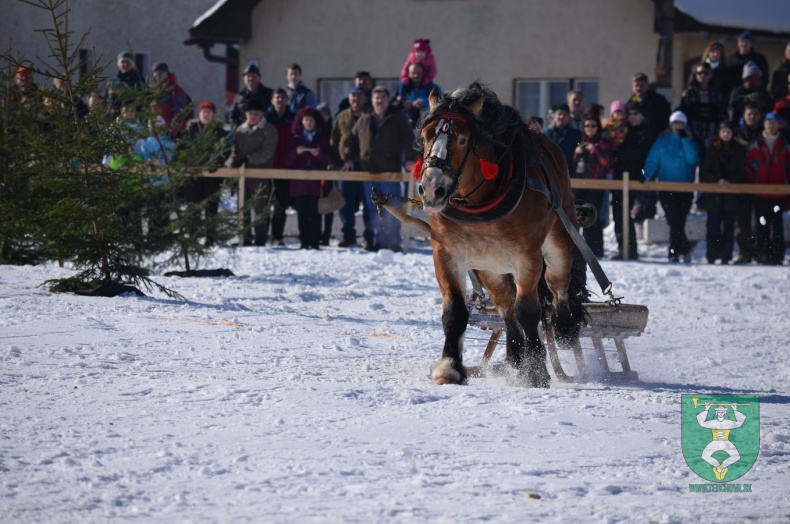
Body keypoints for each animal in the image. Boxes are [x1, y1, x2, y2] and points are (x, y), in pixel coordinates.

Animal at [384, 82, 588, 384]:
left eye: (462, 141)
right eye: (425, 135)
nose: (432, 189)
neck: (478, 202)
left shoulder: (527, 256)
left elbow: (529, 311)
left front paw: (536, 372)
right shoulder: (446, 253)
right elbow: (455, 311)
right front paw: (449, 367)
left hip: (559, 239)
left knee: (557, 283)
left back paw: (563, 328)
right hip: (489, 266)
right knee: (505, 308)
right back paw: (514, 357)